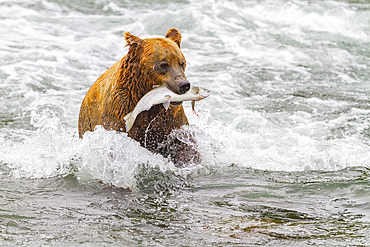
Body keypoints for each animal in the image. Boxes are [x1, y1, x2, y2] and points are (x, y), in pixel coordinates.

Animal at [78, 28, 199, 166]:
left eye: (182, 63)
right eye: (163, 64)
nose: (184, 85)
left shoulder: (169, 119)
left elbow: (182, 142)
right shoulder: (119, 113)